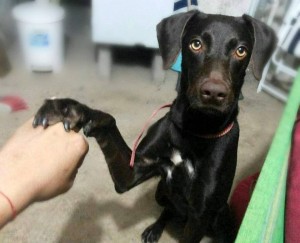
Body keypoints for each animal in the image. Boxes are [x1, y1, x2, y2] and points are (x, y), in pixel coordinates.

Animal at [33, 10, 276, 242]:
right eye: (196, 44)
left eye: (241, 51)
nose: (214, 94)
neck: (195, 129)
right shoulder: (131, 172)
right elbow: (109, 121)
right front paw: (68, 109)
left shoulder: (200, 216)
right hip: (161, 191)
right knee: (168, 210)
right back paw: (155, 228)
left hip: (222, 217)